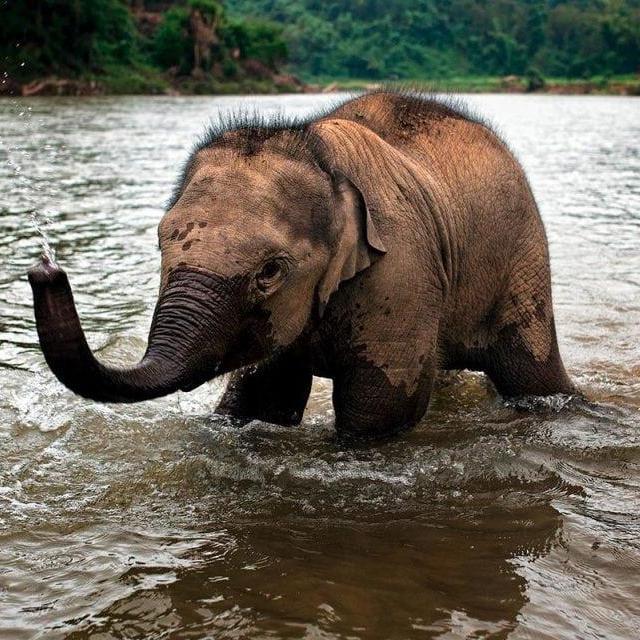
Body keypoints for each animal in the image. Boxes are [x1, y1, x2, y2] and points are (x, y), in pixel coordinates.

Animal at [28, 90, 575, 438]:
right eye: (161, 244)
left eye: (270, 271)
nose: (44, 270)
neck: (321, 155)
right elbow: (264, 394)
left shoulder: (400, 271)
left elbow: (381, 407)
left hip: (522, 255)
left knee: (531, 375)